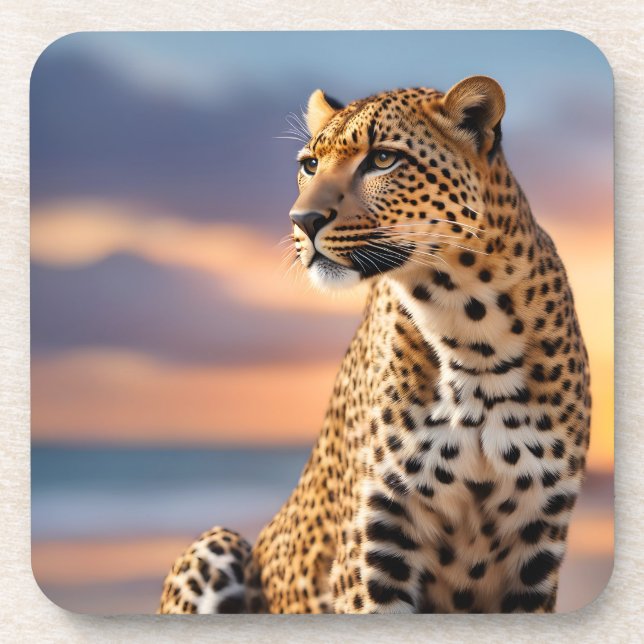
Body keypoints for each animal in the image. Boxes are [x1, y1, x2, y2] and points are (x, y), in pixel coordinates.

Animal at [159, 76, 591, 614]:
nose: (302, 220)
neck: (473, 332)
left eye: (383, 159)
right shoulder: (375, 548)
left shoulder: (536, 549)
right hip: (216, 542)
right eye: (310, 165)